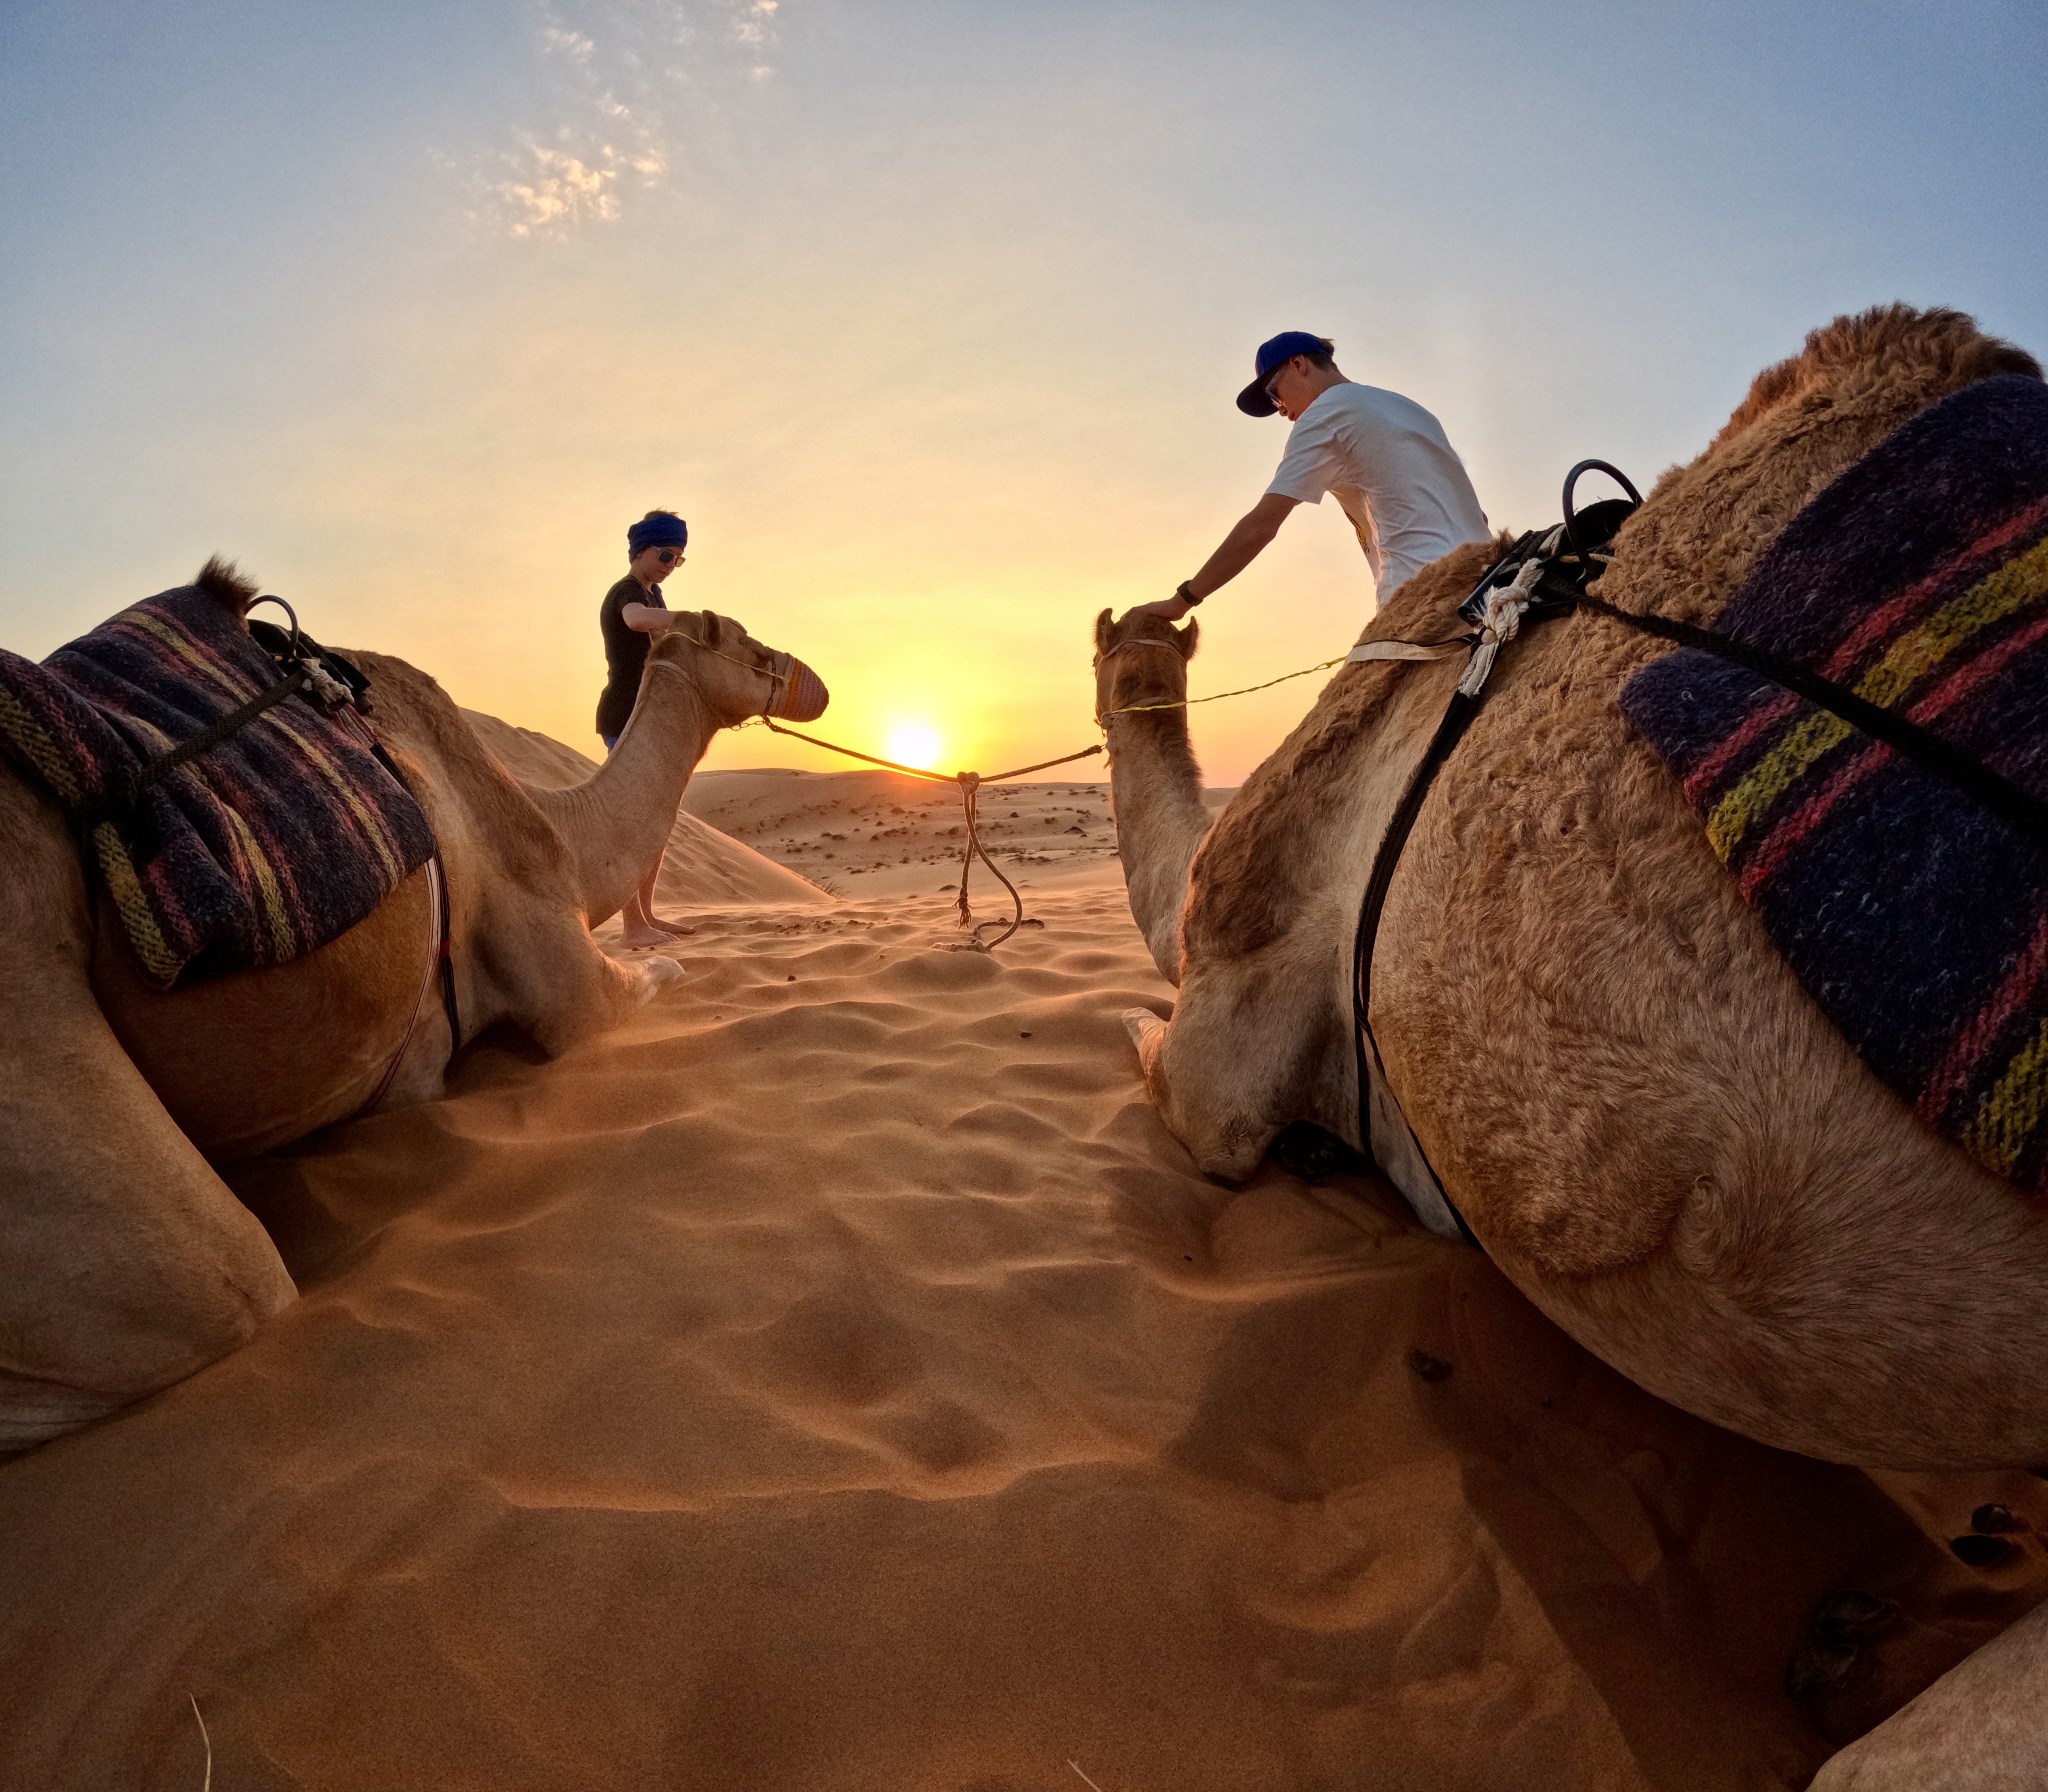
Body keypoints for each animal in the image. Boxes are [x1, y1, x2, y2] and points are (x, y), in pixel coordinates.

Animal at [0, 569, 815, 1450]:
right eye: (748, 642)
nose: (813, 681)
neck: (560, 827)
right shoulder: (563, 974)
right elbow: (653, 976)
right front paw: (669, 952)